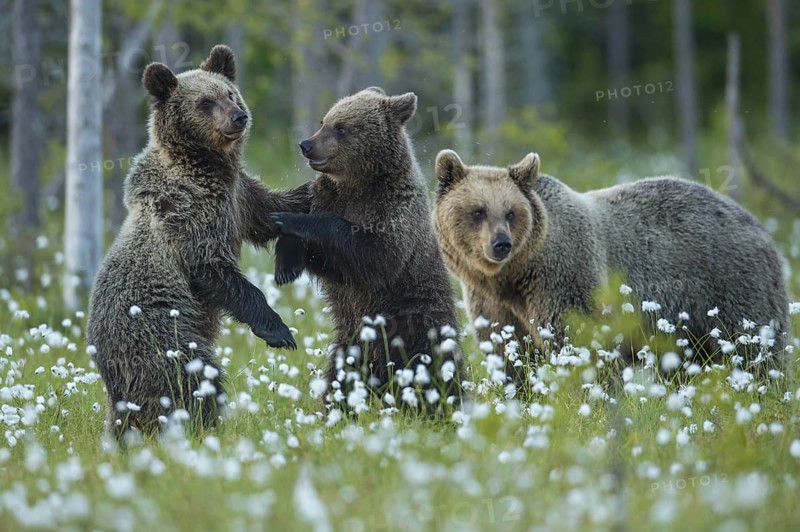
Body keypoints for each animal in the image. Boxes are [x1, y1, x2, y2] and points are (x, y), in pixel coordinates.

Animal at [87, 45, 310, 441]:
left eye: (230, 93)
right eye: (205, 102)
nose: (239, 116)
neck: (206, 167)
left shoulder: (238, 197)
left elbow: (271, 210)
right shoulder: (187, 215)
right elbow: (213, 268)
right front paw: (278, 330)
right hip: (160, 334)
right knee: (190, 379)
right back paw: (201, 426)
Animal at [269, 87, 461, 408]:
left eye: (341, 128)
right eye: (324, 120)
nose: (306, 145)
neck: (359, 184)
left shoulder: (394, 212)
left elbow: (375, 255)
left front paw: (289, 220)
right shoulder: (328, 196)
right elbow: (333, 264)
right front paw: (286, 264)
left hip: (417, 325)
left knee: (437, 370)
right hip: (350, 345)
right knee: (339, 379)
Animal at [433, 149, 790, 372]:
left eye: (511, 212)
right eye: (478, 211)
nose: (501, 244)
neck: (515, 275)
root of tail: (758, 225)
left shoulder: (562, 276)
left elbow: (579, 339)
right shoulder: (492, 302)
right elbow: (507, 350)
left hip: (731, 285)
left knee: (753, 347)